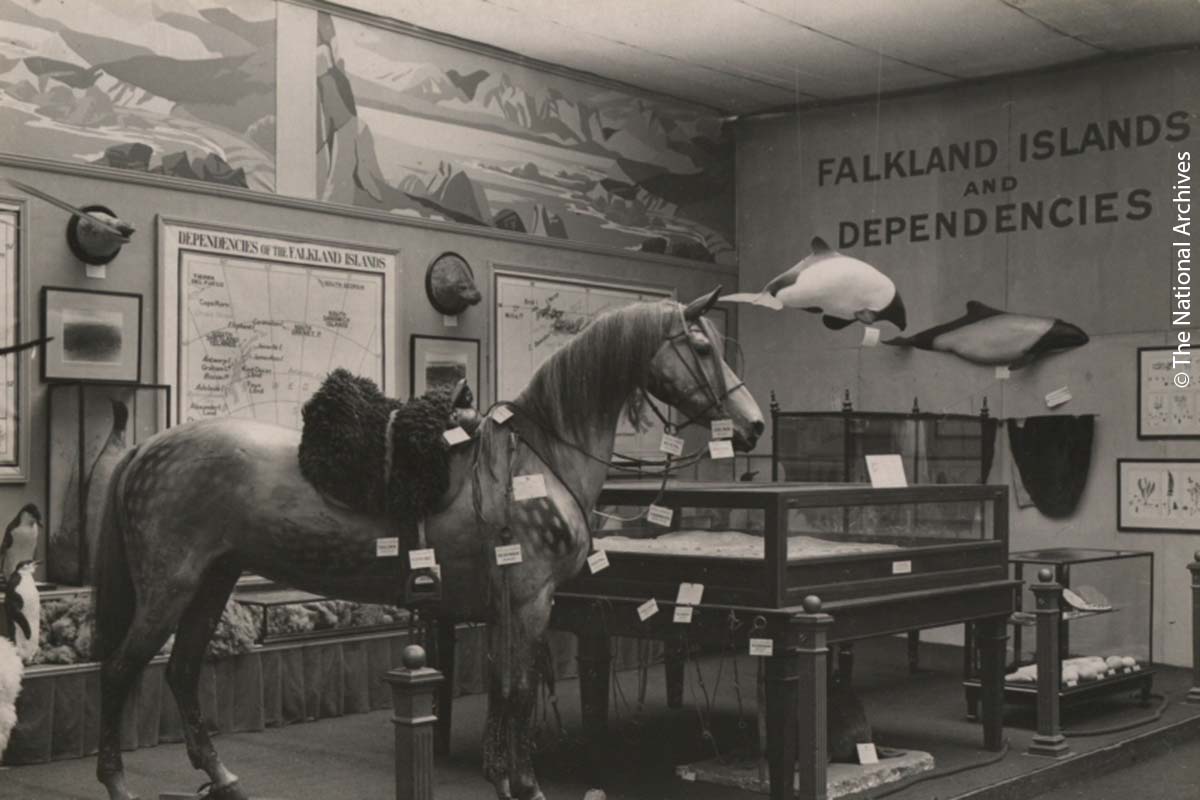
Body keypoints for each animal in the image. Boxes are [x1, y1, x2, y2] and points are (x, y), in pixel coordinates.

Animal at [98, 289, 763, 800]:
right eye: (703, 348)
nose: (753, 425)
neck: (540, 458)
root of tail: (148, 448)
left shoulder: (511, 610)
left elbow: (506, 690)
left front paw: (507, 778)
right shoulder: (531, 601)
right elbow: (521, 694)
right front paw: (526, 785)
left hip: (213, 583)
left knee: (182, 673)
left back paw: (221, 775)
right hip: (169, 587)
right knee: (121, 670)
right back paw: (117, 783)